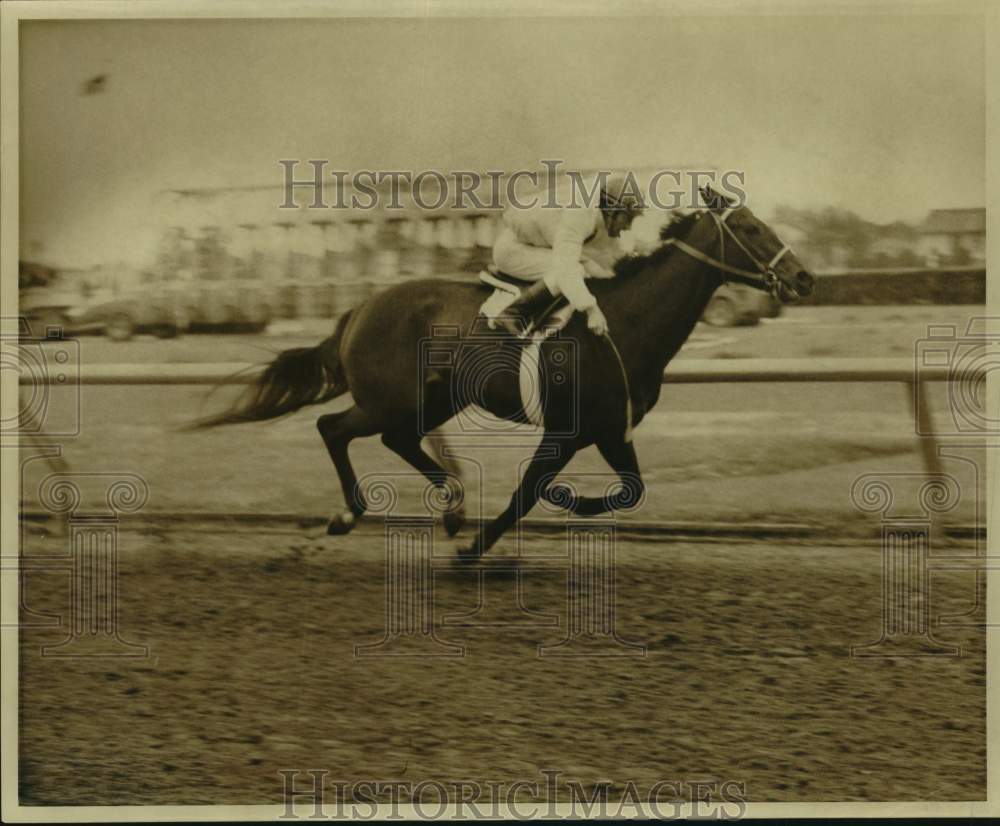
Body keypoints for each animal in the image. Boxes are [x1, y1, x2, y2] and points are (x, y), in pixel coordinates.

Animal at [195, 187, 812, 556]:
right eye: (752, 228)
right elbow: (528, 492)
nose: (805, 278)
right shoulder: (567, 431)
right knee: (334, 429)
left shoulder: (612, 430)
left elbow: (631, 491)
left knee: (398, 439)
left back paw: (452, 507)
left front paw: (559, 505)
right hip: (388, 397)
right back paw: (352, 514)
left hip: (437, 397)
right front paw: (478, 548)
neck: (626, 325)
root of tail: (360, 308)